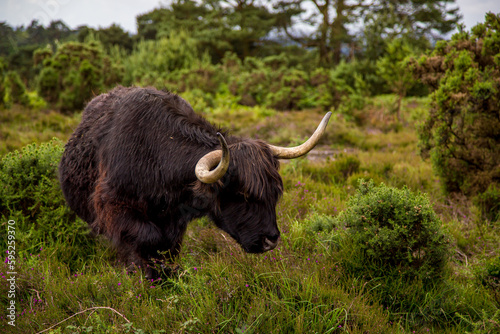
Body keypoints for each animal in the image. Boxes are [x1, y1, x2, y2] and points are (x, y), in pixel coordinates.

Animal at [59, 85, 332, 276]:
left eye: (275, 193)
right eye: (242, 194)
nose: (271, 239)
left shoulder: (175, 222)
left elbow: (168, 247)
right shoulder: (114, 206)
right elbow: (147, 240)